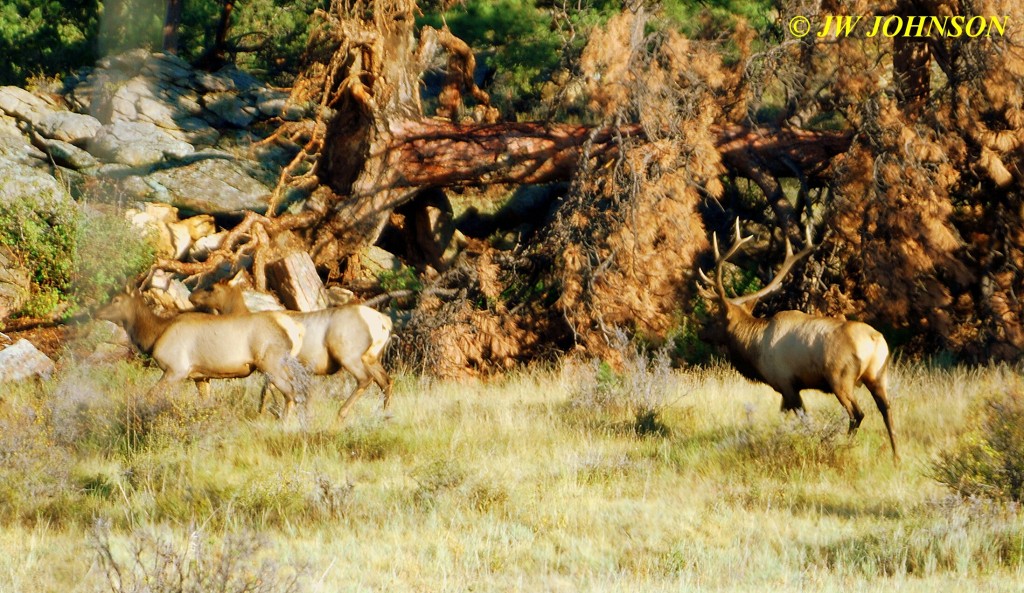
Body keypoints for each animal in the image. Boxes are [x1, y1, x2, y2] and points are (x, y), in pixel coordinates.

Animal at [96, 292, 307, 417]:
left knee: (292, 393)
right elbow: (205, 404)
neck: (155, 334)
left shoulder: (176, 370)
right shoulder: (200, 376)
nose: (96, 311)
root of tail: (295, 329)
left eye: (116, 299)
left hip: (272, 364)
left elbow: (150, 396)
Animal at [188, 282, 391, 417]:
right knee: (386, 381)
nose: (191, 296)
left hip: (348, 354)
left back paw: (341, 414)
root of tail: (384, 322)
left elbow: (267, 392)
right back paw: (385, 415)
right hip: (372, 357)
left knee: (366, 379)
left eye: (211, 287)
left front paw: (264, 414)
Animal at [700, 220, 901, 460]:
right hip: (879, 376)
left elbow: (803, 417)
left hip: (840, 379)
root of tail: (876, 341)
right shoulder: (787, 387)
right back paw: (896, 457)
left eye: (714, 318)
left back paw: (845, 447)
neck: (753, 348)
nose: (702, 331)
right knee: (887, 410)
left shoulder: (786, 381)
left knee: (857, 414)